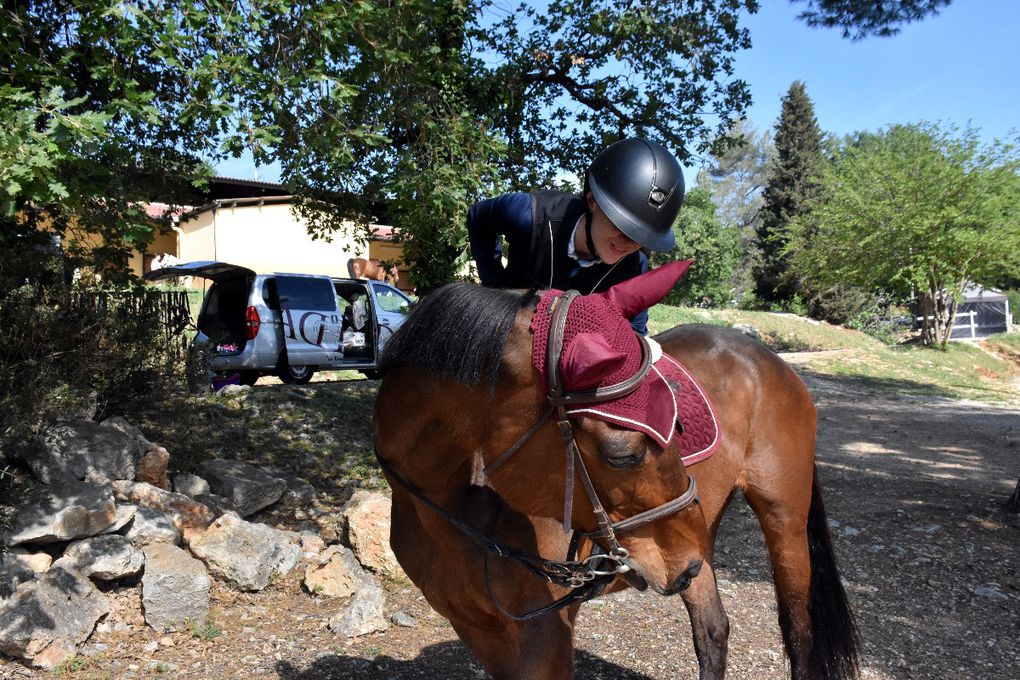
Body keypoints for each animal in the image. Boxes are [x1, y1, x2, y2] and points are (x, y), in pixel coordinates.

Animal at [371, 263, 856, 680]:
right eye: (624, 454)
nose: (686, 564)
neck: (450, 510)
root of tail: (766, 358)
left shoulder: (547, 638)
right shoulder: (477, 631)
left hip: (779, 522)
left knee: (798, 633)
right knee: (713, 632)